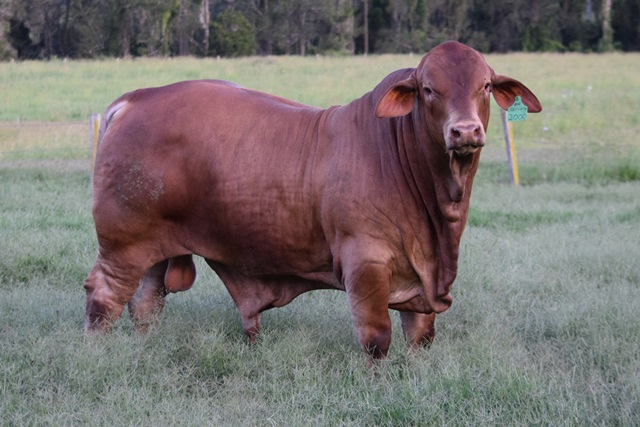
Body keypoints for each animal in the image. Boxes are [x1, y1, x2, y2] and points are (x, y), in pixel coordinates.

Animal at [84, 41, 541, 359]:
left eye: (485, 85)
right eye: (429, 89)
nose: (465, 131)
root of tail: (137, 98)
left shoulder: (423, 278)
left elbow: (420, 336)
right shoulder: (365, 262)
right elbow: (376, 337)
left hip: (151, 249)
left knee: (146, 301)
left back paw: (145, 347)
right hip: (123, 243)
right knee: (104, 295)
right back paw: (98, 353)